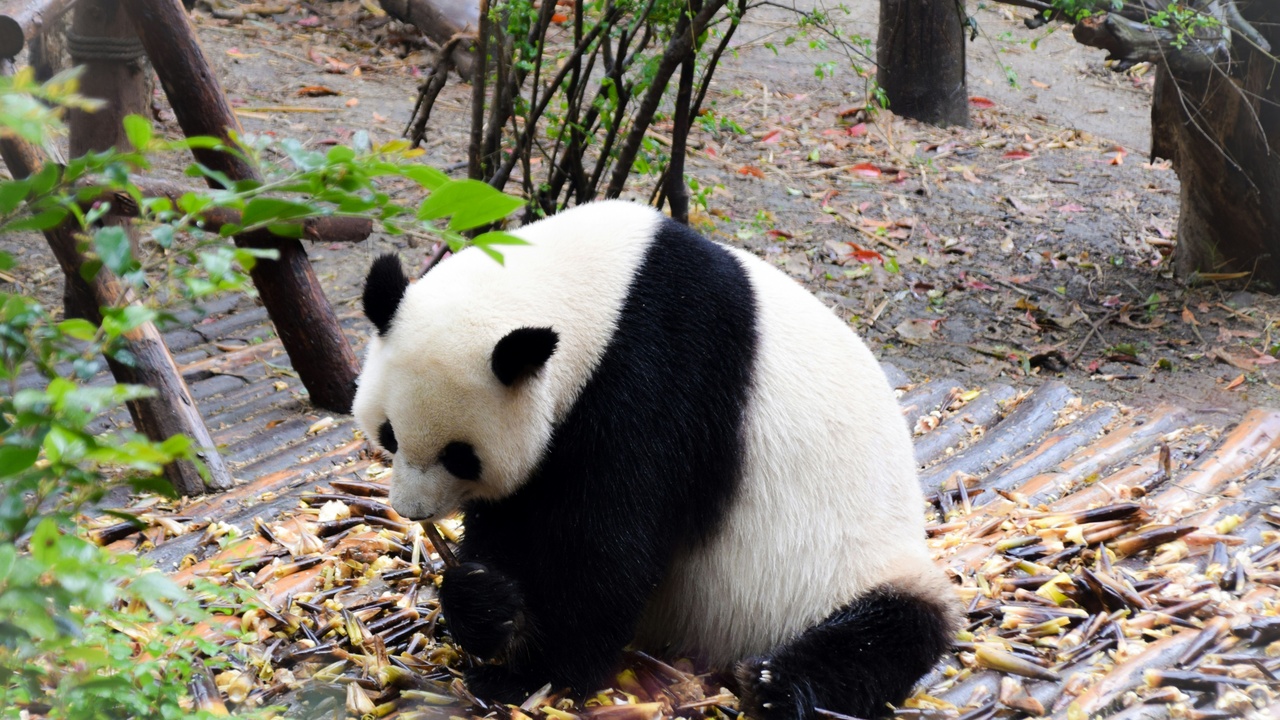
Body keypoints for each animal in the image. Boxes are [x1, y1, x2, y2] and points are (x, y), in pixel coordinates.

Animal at [353, 200, 959, 720]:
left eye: (460, 457)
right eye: (389, 435)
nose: (412, 510)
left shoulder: (660, 374)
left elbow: (607, 541)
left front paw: (532, 671)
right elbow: (519, 522)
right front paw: (486, 604)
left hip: (849, 565)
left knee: (884, 633)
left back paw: (777, 686)